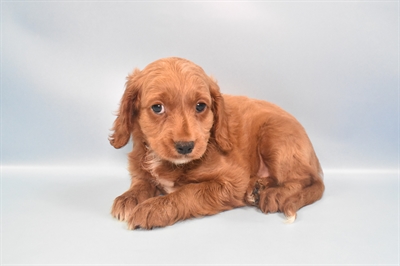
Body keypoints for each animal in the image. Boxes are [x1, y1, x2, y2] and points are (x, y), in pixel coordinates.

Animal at [109, 57, 324, 230]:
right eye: (157, 108)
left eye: (200, 106)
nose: (185, 146)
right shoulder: (140, 168)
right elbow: (141, 181)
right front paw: (128, 198)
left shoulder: (233, 181)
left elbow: (189, 191)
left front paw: (153, 208)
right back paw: (257, 187)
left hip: (275, 136)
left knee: (304, 179)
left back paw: (275, 194)